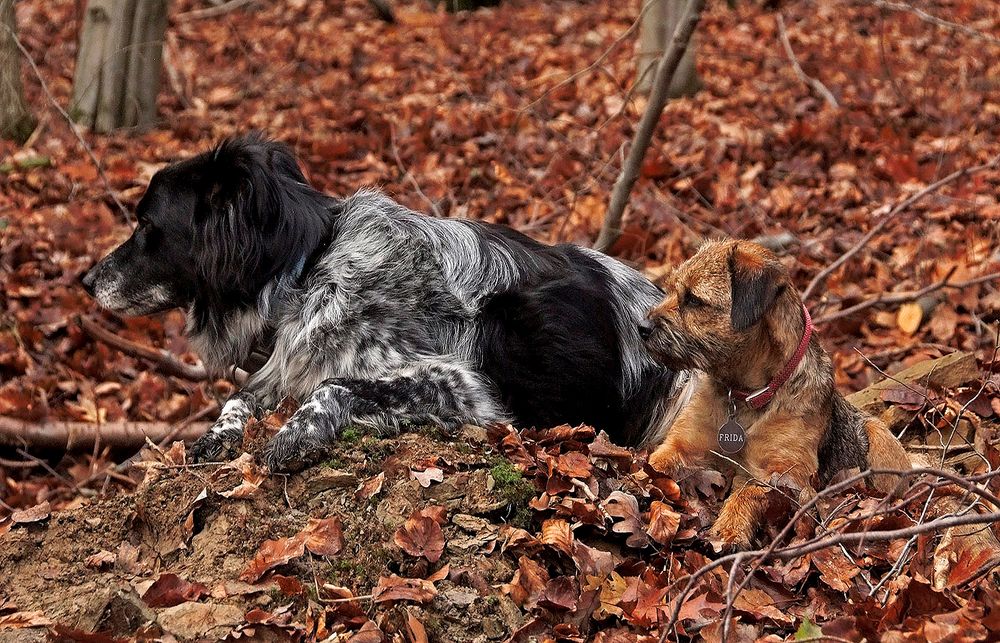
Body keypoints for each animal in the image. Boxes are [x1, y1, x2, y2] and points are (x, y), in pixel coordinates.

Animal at [82, 133, 688, 470]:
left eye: (146, 225)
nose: (85, 281)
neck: (308, 271)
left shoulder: (460, 385)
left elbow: (334, 386)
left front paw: (296, 433)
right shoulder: (281, 366)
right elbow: (240, 398)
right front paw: (220, 434)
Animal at [640, 240, 916, 548]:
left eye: (694, 300)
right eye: (672, 290)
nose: (642, 327)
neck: (745, 396)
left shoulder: (788, 474)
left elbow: (748, 491)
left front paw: (730, 528)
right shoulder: (683, 445)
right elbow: (655, 462)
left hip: (878, 436)